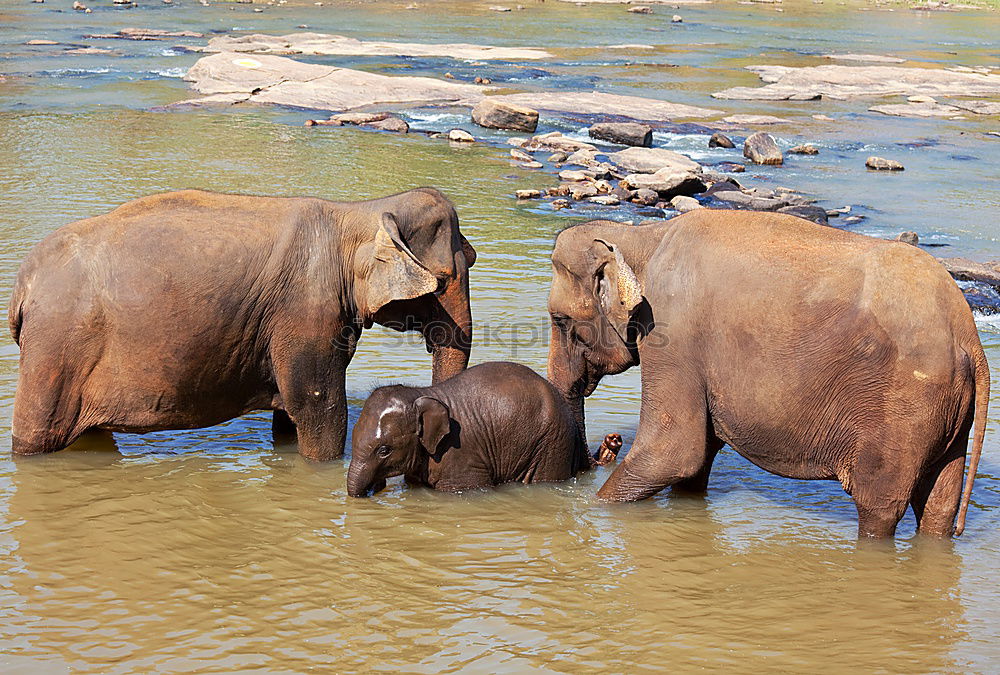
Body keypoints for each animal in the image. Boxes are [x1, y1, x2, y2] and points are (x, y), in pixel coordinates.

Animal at [7, 187, 476, 462]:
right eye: (445, 280)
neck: (357, 213)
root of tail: (22, 283)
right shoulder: (305, 312)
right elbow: (318, 407)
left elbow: (289, 414)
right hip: (56, 348)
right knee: (36, 437)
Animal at [552, 211, 988, 540]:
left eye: (561, 321)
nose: (610, 443)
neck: (641, 236)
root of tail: (968, 333)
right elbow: (698, 460)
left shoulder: (674, 336)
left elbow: (673, 452)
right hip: (947, 414)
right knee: (938, 504)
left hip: (905, 407)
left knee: (879, 507)